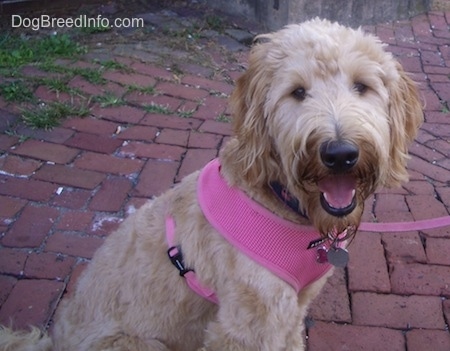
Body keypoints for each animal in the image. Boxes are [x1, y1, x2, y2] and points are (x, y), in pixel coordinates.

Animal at [0, 17, 422, 350]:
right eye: (298, 92)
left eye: (362, 86)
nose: (339, 154)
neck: (281, 201)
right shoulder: (248, 323)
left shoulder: (292, 309)